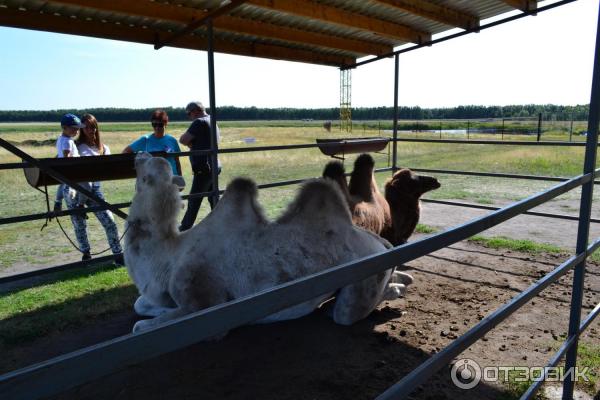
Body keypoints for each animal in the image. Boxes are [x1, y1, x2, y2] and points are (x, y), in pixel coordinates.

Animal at [123, 153, 412, 334]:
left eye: (143, 174)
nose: (137, 156)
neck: (169, 255)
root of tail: (379, 241)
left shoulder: (204, 303)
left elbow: (138, 327)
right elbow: (139, 305)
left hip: (364, 279)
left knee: (345, 313)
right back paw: (402, 279)